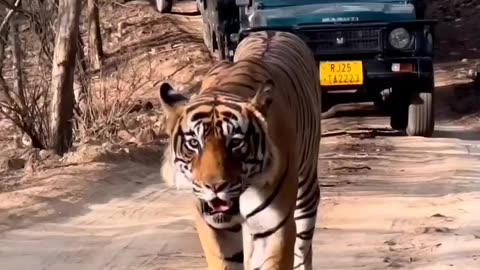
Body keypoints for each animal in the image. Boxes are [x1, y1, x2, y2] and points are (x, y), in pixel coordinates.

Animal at [158, 30, 322, 268]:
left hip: (305, 190)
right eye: (194, 143)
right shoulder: (213, 228)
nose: (214, 186)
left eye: (235, 142)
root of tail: (271, 31)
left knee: (303, 246)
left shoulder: (276, 225)